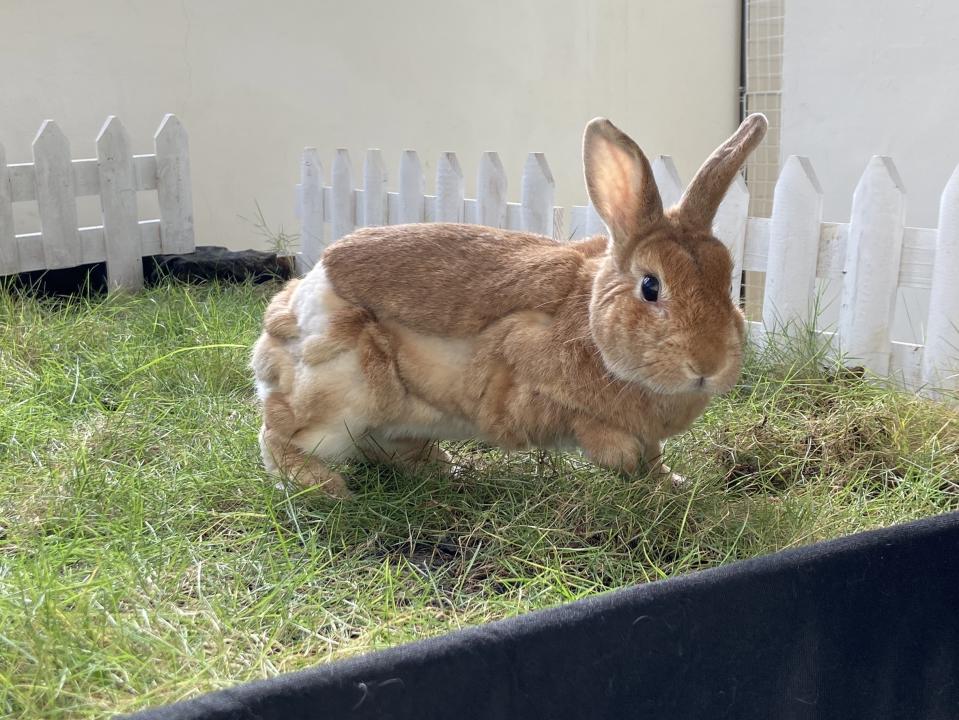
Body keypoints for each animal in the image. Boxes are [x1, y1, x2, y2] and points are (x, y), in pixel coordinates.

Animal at [251, 112, 768, 498]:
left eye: (727, 278)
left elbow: (654, 457)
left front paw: (669, 482)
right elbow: (588, 427)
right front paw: (622, 457)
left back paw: (443, 466)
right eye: (650, 286)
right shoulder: (523, 365)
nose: (708, 364)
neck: (591, 323)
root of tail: (287, 318)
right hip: (343, 393)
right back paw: (323, 486)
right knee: (278, 436)